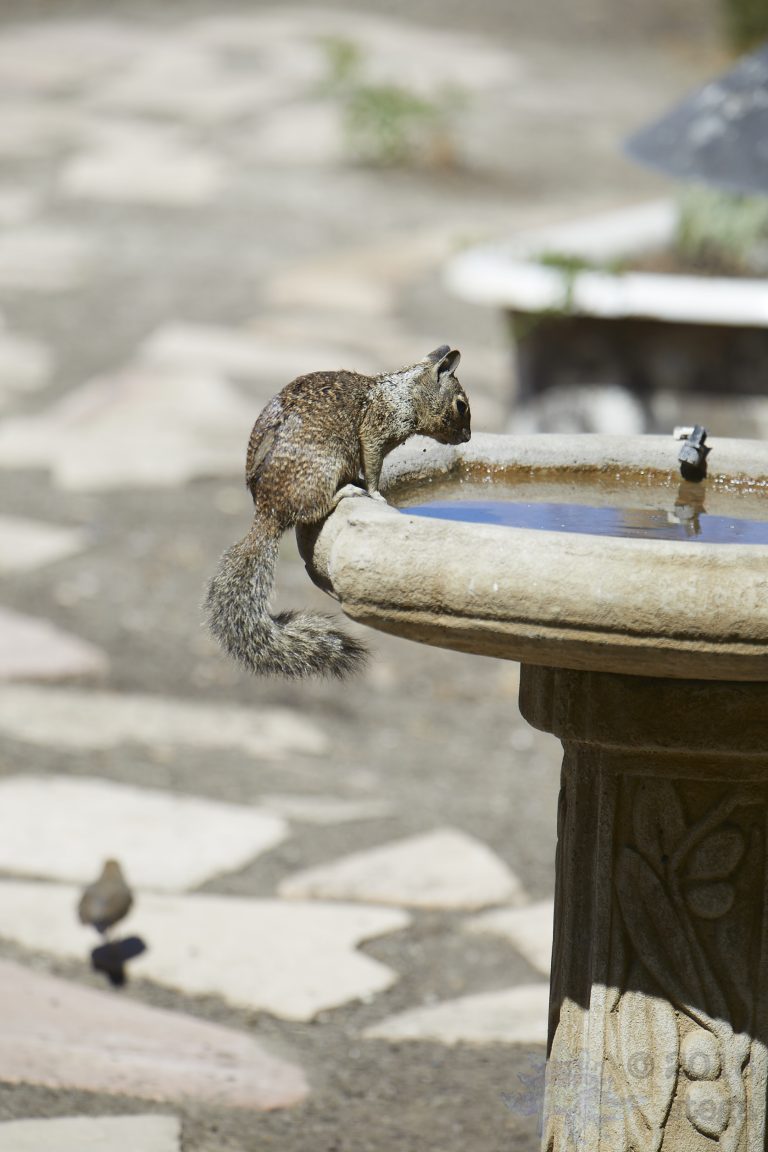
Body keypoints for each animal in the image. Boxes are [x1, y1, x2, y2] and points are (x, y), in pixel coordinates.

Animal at [204, 345, 470, 680]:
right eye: (461, 405)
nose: (468, 438)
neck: (402, 392)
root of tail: (268, 512)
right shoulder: (376, 431)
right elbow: (373, 467)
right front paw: (376, 493)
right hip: (325, 467)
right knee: (312, 511)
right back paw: (347, 492)